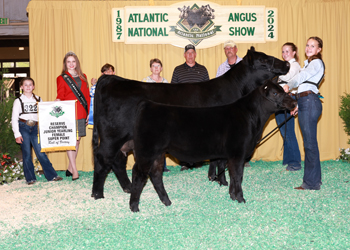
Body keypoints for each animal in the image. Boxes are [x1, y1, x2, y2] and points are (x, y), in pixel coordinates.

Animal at [130, 81, 296, 212]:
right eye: (275, 93)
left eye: (283, 90)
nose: (294, 103)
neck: (252, 119)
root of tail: (148, 104)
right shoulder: (238, 154)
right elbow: (238, 176)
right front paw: (240, 198)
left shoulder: (232, 155)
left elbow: (233, 175)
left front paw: (232, 195)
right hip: (146, 152)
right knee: (138, 174)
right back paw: (134, 207)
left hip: (158, 154)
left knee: (156, 175)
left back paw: (167, 202)